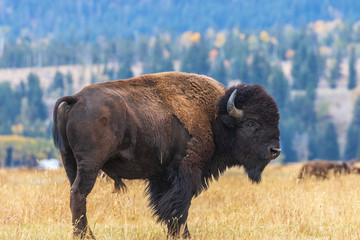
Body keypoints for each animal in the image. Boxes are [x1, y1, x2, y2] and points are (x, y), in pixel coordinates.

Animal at [51, 71, 282, 238]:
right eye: (250, 123)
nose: (275, 150)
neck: (214, 116)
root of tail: (76, 99)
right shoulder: (187, 171)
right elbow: (179, 205)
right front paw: (183, 235)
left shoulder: (161, 176)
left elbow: (164, 206)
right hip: (90, 163)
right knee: (79, 194)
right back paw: (85, 236)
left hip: (69, 161)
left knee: (76, 195)